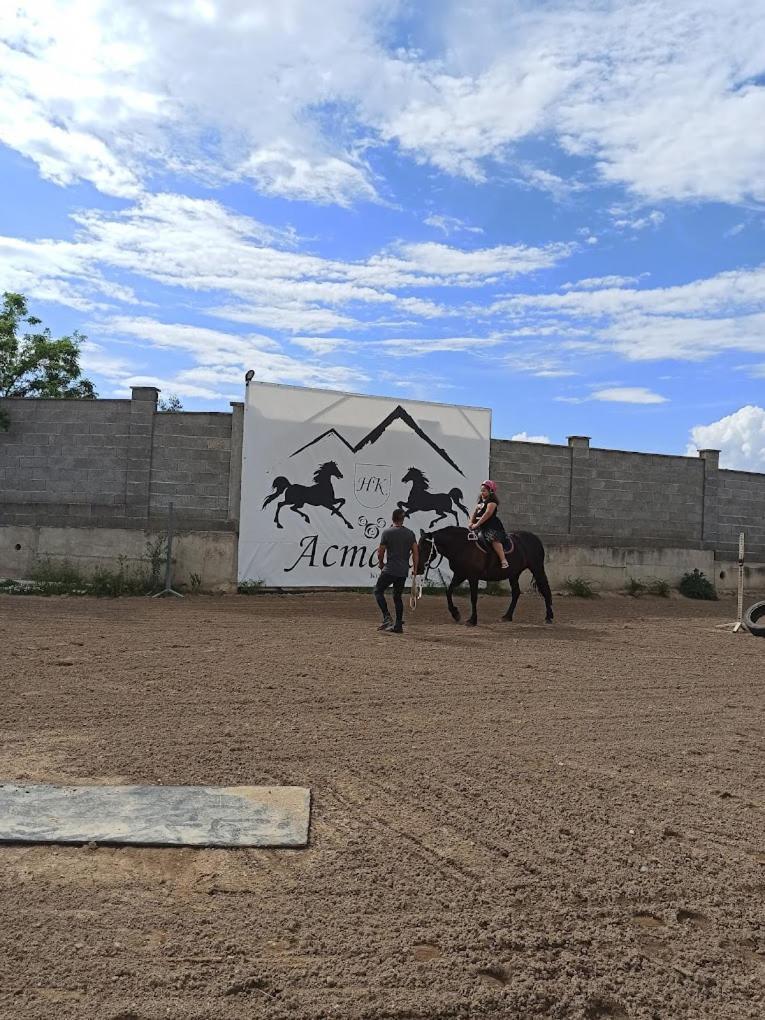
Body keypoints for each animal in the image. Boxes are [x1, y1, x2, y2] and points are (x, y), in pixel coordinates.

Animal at [416, 530, 554, 624]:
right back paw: (507, 616)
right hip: (514, 574)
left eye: (425, 548)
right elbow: (448, 592)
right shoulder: (460, 575)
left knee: (545, 590)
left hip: (537, 569)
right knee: (516, 592)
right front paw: (455, 614)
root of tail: (534, 538)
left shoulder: (473, 577)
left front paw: (472, 620)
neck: (462, 546)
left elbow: (473, 598)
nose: (418, 569)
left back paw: (549, 617)